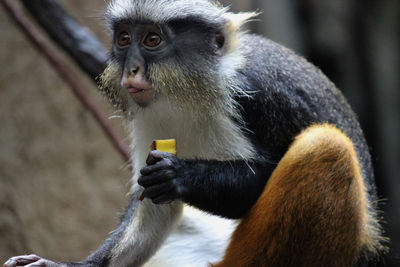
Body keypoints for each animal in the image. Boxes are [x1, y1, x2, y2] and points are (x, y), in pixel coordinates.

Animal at [3, 0, 388, 266]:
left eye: (152, 39)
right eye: (124, 38)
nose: (131, 70)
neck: (193, 90)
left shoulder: (256, 97)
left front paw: (181, 175)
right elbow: (154, 208)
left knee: (326, 147)